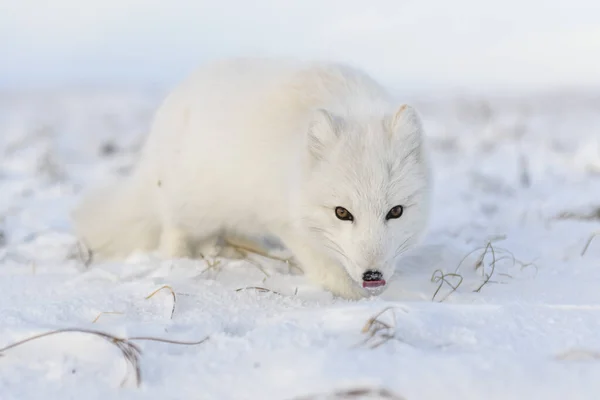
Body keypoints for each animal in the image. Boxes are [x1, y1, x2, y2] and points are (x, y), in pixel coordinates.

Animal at [74, 57, 432, 298]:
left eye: (395, 211)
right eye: (342, 213)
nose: (372, 274)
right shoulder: (290, 221)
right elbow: (328, 271)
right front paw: (353, 296)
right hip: (192, 207)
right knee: (171, 233)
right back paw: (183, 260)